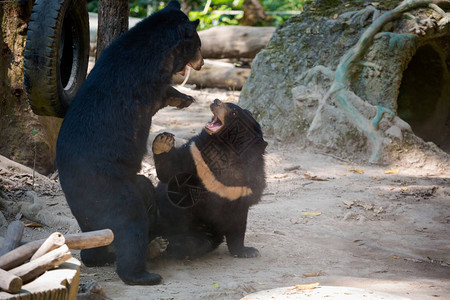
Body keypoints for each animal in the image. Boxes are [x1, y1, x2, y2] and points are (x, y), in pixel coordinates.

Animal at [55, 0, 204, 286]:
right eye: (199, 45)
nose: (202, 64)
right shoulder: (147, 78)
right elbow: (160, 93)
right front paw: (182, 97)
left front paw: (186, 98)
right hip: (107, 189)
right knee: (129, 222)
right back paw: (143, 273)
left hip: (118, 194)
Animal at [151, 98, 268, 258]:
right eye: (225, 103)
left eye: (234, 113)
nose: (216, 101)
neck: (225, 149)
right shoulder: (195, 155)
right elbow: (171, 170)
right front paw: (163, 141)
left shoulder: (242, 189)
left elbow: (237, 225)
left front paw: (248, 251)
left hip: (201, 234)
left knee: (191, 245)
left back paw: (156, 246)